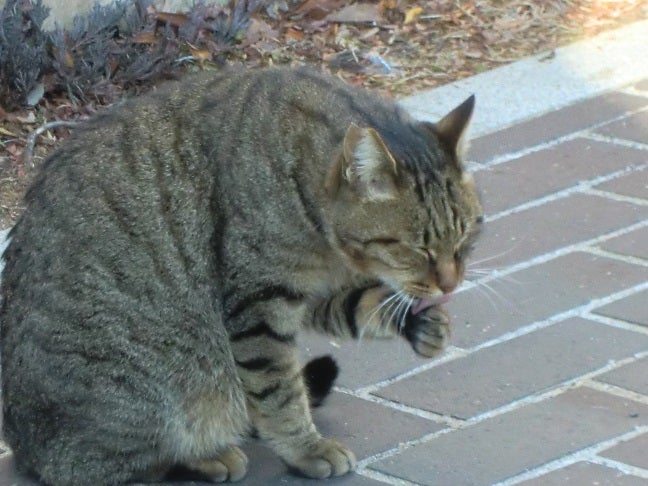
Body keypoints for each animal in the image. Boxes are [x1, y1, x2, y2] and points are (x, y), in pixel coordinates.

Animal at [0, 66, 480, 484]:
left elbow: (358, 303)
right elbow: (280, 391)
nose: (451, 283)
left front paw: (422, 323)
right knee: (106, 469)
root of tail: (25, 449)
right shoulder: (259, 304)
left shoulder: (311, 290)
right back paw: (206, 457)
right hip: (136, 390)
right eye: (416, 248)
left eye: (466, 237)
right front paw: (307, 450)